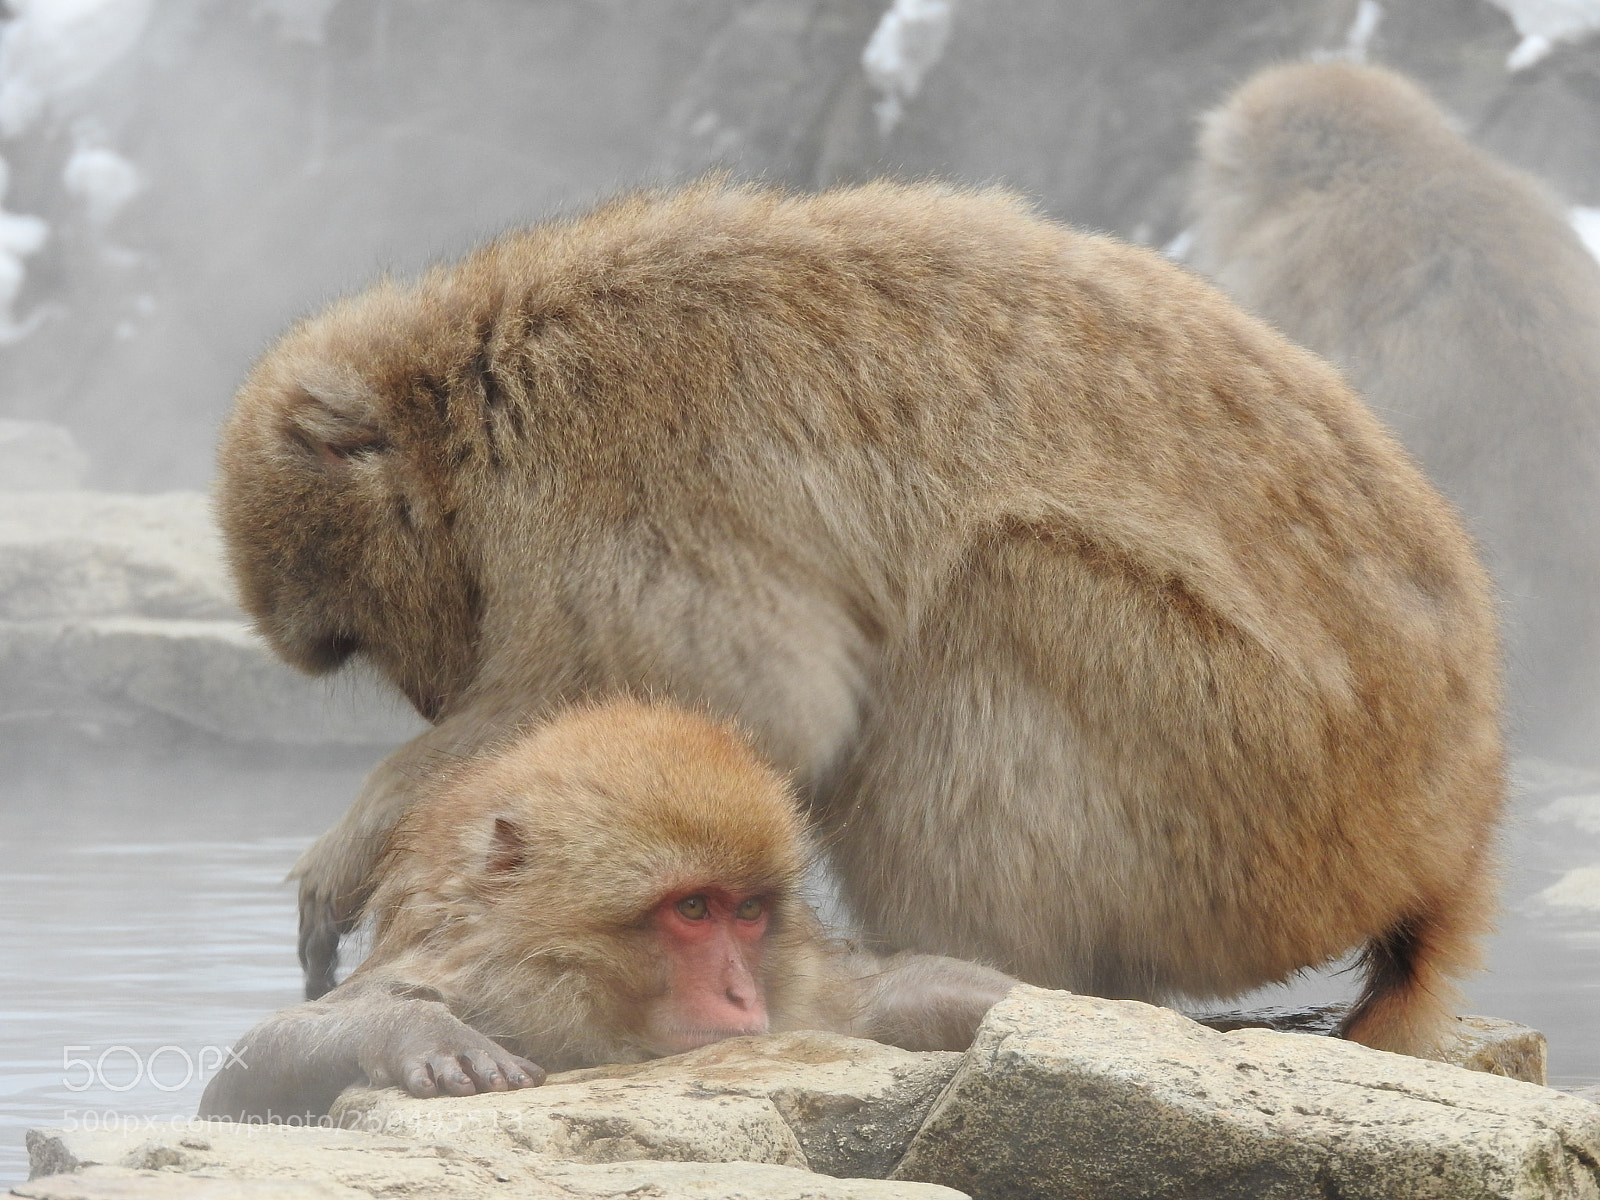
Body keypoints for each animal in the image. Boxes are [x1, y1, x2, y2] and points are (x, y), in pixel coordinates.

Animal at [196, 699, 1019, 1122]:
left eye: (749, 910)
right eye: (694, 908)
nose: (741, 993)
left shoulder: (814, 1000)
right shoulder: (466, 977)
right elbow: (239, 1082)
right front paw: (413, 1029)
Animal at [215, 177, 1505, 1059]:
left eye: (351, 641)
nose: (429, 700)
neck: (486, 382)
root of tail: (1445, 841)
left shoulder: (625, 456)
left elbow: (743, 688)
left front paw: (371, 836)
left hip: (1255, 804)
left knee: (997, 594)